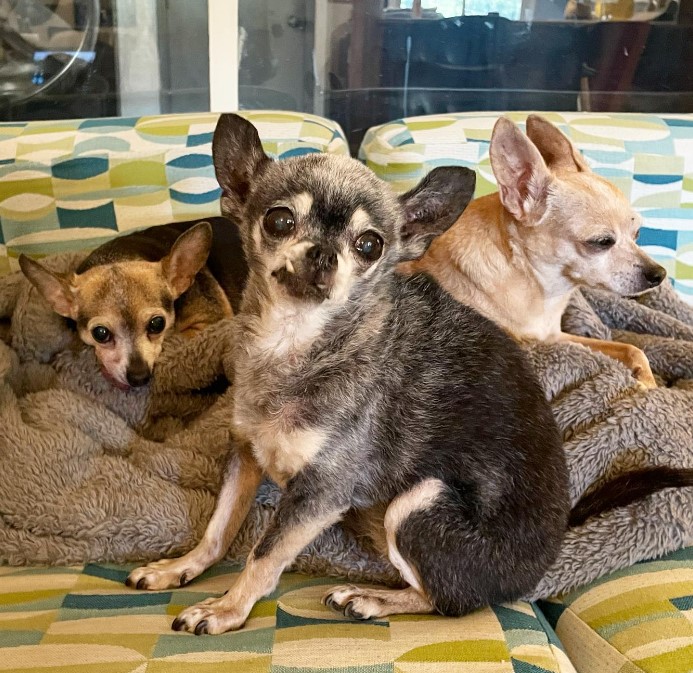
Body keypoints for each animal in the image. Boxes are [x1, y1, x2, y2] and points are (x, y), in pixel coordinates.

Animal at [127, 113, 692, 632]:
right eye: (280, 220)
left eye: (371, 245)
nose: (324, 253)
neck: (296, 342)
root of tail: (557, 539)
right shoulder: (245, 453)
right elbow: (218, 528)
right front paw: (180, 568)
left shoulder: (321, 492)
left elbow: (263, 554)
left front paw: (225, 609)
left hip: (418, 501)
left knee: (449, 599)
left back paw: (372, 599)